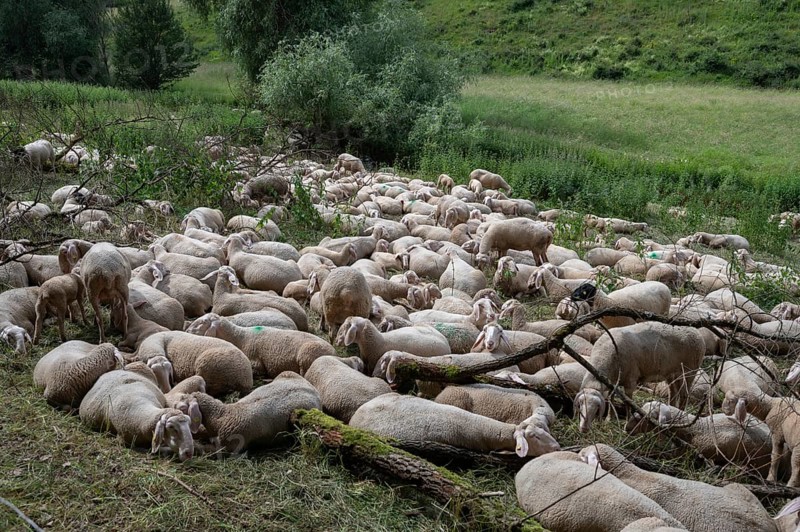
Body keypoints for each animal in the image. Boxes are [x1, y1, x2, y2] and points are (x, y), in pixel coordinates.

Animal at [186, 313, 334, 378]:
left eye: (203, 322)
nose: (186, 331)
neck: (239, 337)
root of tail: (333, 352)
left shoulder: (256, 363)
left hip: (306, 355)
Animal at [575, 322, 705, 432]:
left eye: (596, 407)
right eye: (580, 404)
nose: (583, 429)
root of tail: (696, 331)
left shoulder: (630, 380)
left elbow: (628, 402)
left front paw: (627, 421)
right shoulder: (612, 382)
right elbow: (611, 399)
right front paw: (609, 419)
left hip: (689, 370)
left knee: (684, 395)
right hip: (672, 373)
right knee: (673, 393)